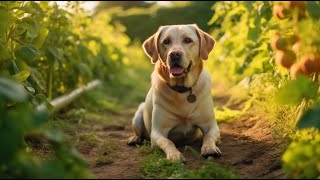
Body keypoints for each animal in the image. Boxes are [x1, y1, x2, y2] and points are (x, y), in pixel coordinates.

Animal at [127, 24, 220, 162]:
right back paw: (134, 138)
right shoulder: (158, 132)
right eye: (166, 41)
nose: (175, 54)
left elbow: (208, 137)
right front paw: (174, 155)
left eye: (187, 40)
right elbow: (168, 142)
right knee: (138, 132)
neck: (182, 89)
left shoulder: (211, 125)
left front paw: (209, 148)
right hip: (139, 112)